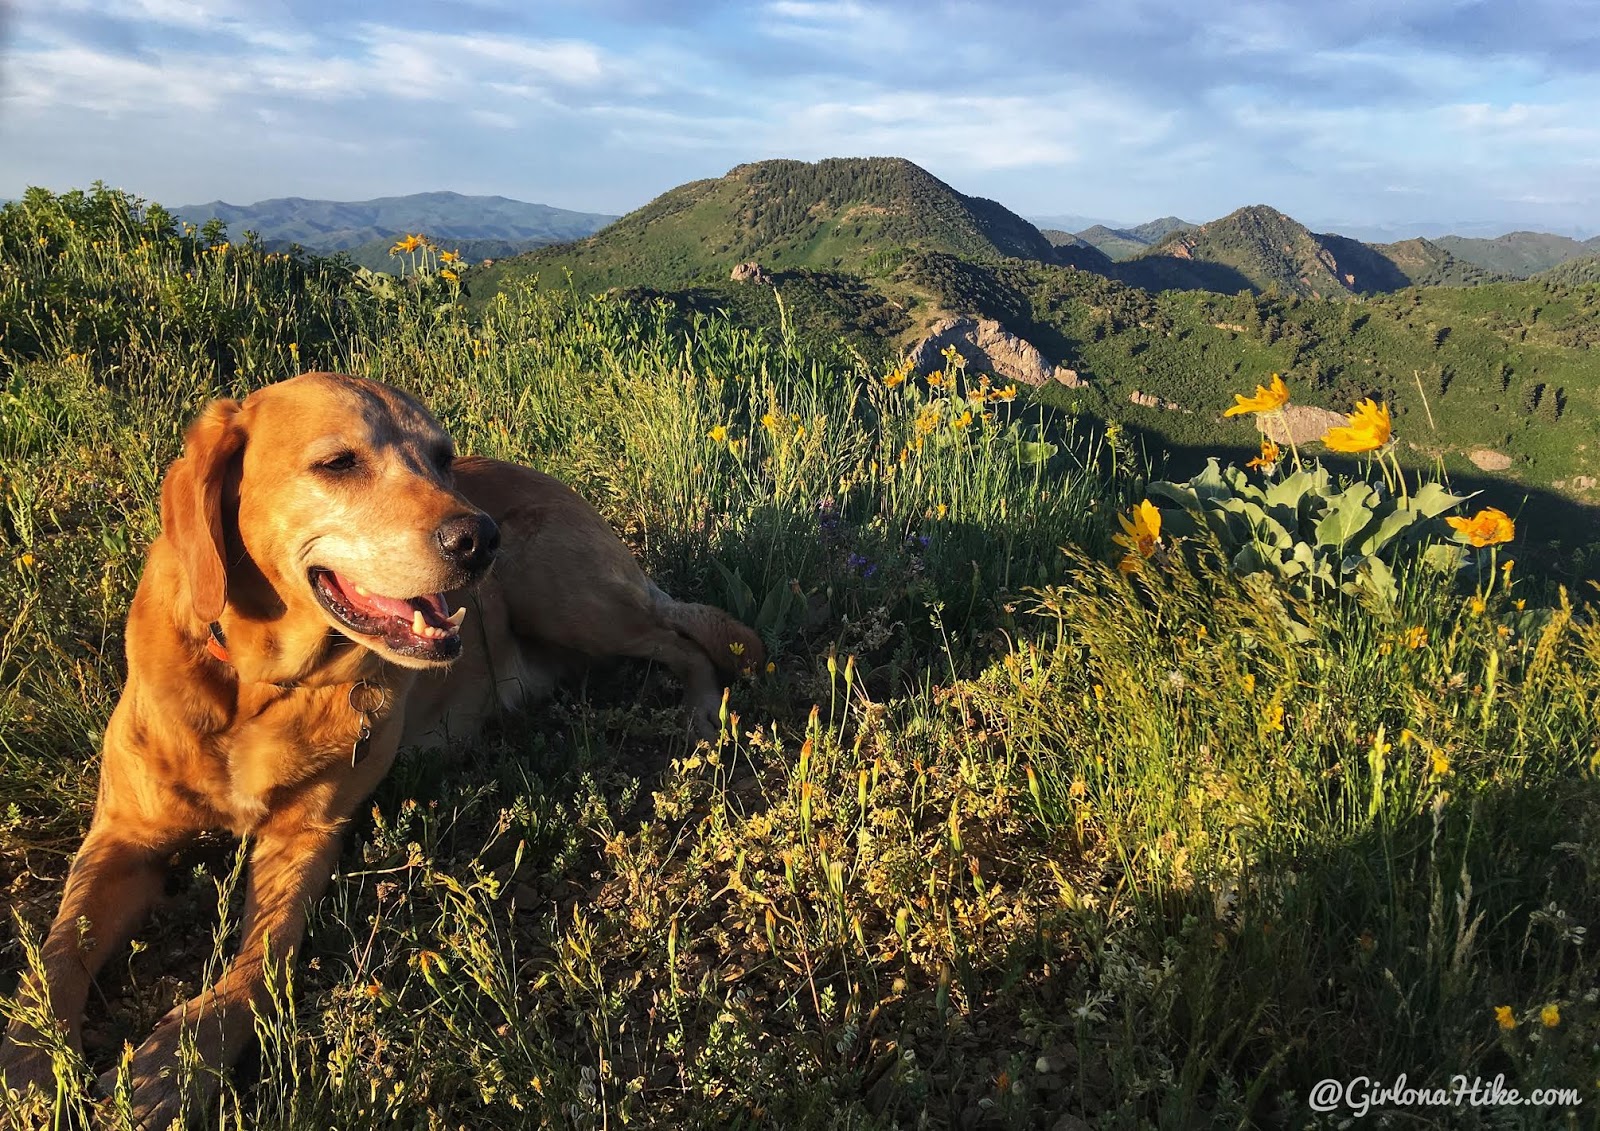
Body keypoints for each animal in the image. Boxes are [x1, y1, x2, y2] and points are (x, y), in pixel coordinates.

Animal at [0, 369, 761, 1126]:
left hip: (568, 594)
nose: (478, 538)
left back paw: (703, 716)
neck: (258, 684)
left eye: (441, 457)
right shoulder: (122, 836)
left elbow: (257, 962)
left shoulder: (305, 840)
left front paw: (180, 1061)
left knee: (681, 638)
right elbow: (58, 950)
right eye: (339, 463)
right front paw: (32, 1053)